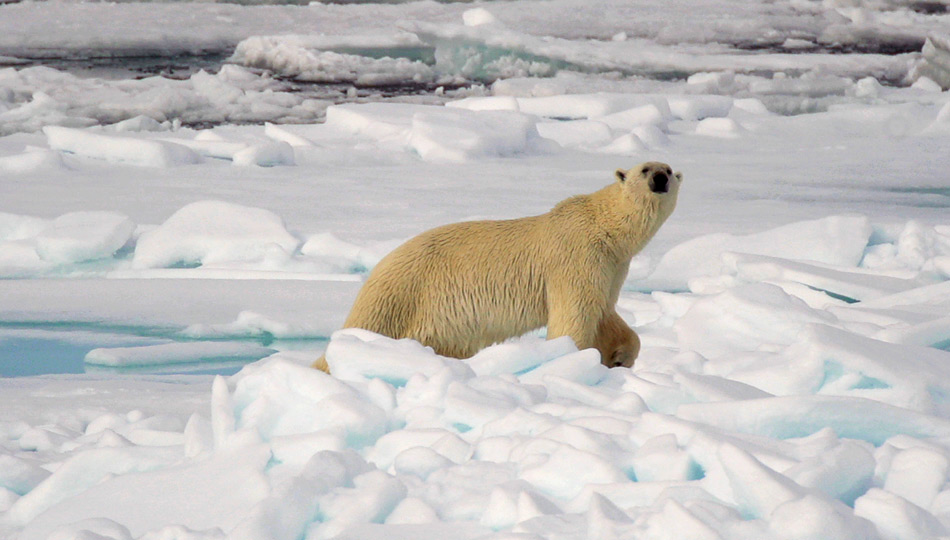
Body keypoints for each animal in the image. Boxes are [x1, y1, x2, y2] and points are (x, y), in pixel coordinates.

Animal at [320, 162, 684, 374]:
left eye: (668, 168)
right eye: (645, 168)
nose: (661, 177)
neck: (603, 226)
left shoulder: (610, 266)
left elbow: (604, 313)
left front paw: (619, 355)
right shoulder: (576, 256)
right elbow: (573, 317)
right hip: (400, 298)